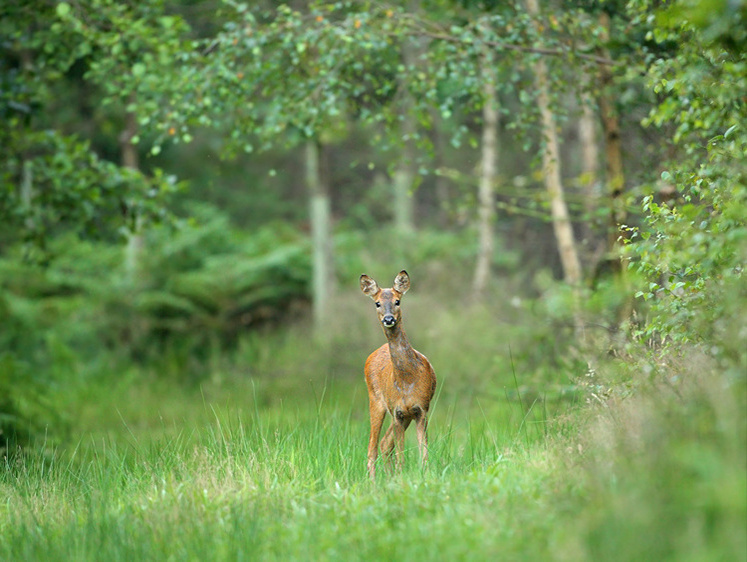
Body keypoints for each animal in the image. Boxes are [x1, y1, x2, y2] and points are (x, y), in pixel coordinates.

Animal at [360, 270, 436, 480]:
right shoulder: (397, 412)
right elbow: (401, 454)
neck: (407, 380)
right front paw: (401, 476)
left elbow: (424, 451)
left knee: (384, 443)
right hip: (376, 400)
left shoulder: (421, 409)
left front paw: (425, 475)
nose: (388, 319)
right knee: (373, 447)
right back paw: (373, 482)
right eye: (377, 303)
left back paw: (388, 478)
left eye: (397, 301)